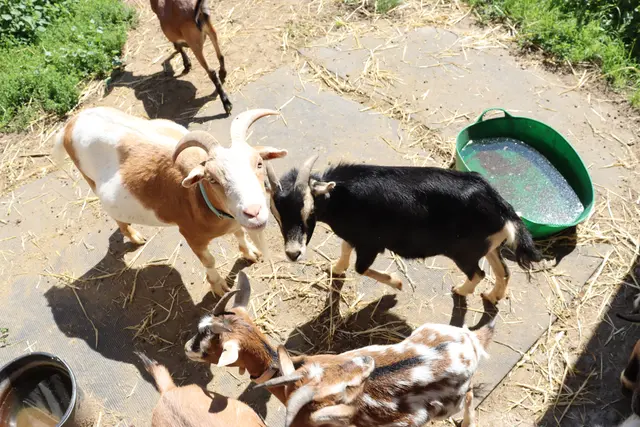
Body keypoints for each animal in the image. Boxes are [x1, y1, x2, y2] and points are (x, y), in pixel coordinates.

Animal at [52, 107, 287, 296]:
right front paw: (218, 286)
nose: (253, 212)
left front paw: (250, 253)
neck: (198, 196)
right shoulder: (191, 235)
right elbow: (209, 261)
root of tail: (71, 123)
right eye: (211, 178)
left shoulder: (235, 220)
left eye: (259, 163)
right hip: (90, 180)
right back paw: (134, 236)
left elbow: (239, 233)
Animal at [185, 271, 492, 426]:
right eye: (200, 327)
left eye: (209, 344)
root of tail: (470, 341)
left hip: (449, 404)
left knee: (468, 399)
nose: (188, 348)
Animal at [266, 156, 542, 304]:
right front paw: (336, 268)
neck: (341, 197)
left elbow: (361, 268)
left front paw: (396, 285)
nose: (293, 253)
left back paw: (460, 290)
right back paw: (493, 297)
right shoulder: (353, 236)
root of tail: (503, 209)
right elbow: (345, 249)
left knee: (479, 273)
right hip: (488, 245)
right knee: (503, 271)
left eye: (309, 213)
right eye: (277, 216)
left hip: (464, 251)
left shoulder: (371, 243)